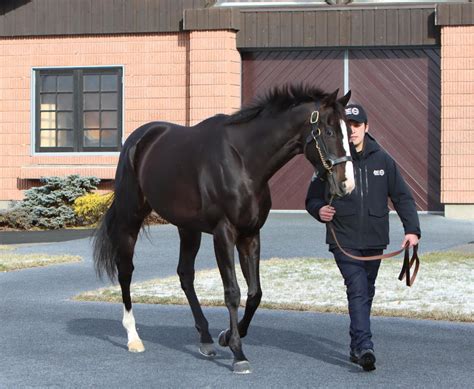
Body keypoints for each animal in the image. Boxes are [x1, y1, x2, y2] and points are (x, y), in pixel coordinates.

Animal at [92, 85, 354, 372]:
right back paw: (133, 338)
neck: (243, 162)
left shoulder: (250, 234)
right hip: (131, 219)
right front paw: (238, 353)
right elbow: (232, 292)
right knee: (126, 271)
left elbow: (254, 293)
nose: (346, 184)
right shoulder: (224, 234)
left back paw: (205, 338)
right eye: (329, 132)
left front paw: (226, 337)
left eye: (349, 132)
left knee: (185, 275)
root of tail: (138, 139)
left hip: (188, 229)